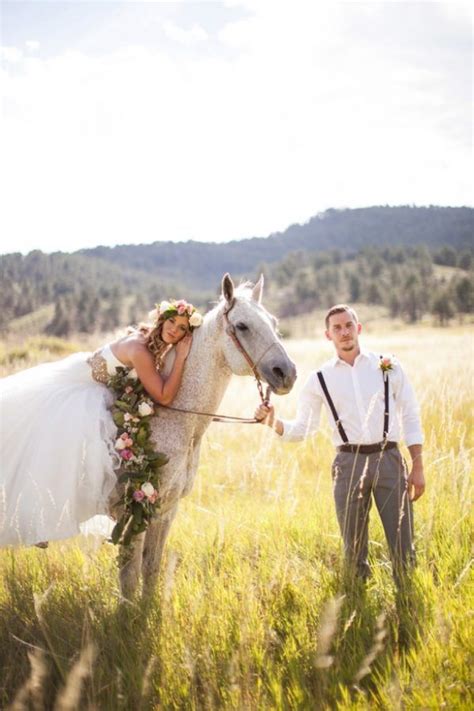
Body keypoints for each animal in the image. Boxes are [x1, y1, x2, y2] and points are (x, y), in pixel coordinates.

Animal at [118, 276, 296, 596]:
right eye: (242, 326)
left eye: (274, 322)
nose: (287, 373)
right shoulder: (136, 511)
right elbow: (129, 574)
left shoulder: (166, 509)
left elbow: (150, 568)